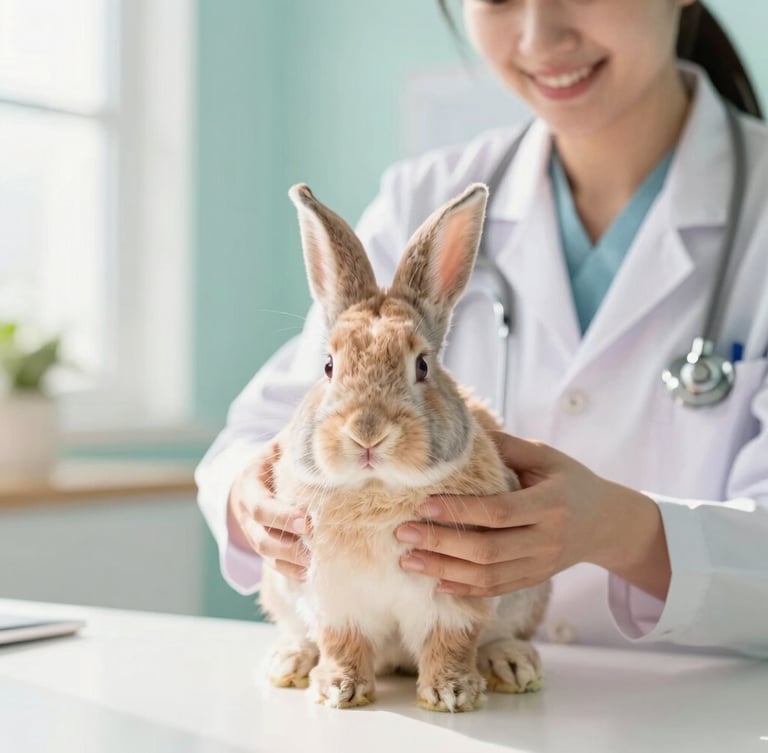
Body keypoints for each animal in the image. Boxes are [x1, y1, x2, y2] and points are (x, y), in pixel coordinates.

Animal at [257, 182, 551, 712]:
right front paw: (338, 689)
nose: (367, 432)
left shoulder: (455, 597)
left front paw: (452, 694)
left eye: (422, 366)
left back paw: (513, 664)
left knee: (503, 634)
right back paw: (290, 661)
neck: (378, 488)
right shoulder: (333, 595)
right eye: (328, 366)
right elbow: (341, 641)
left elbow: (451, 641)